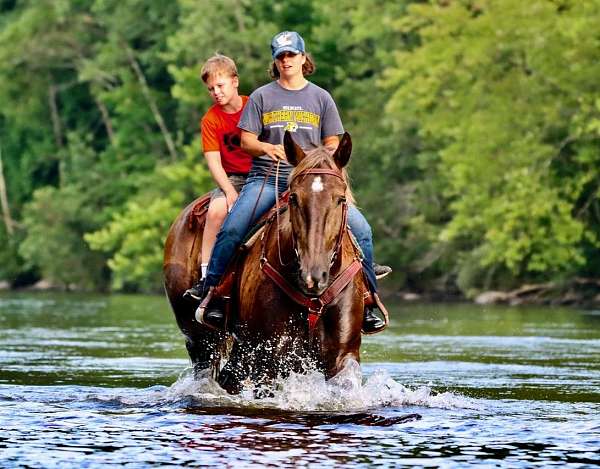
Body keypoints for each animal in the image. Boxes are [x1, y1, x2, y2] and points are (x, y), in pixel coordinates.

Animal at [164, 133, 370, 394]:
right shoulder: (267, 360)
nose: (313, 276)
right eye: (293, 198)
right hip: (199, 338)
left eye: (340, 199)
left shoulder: (343, 354)